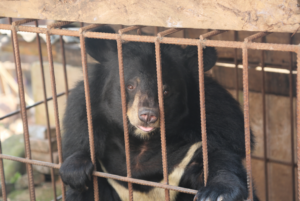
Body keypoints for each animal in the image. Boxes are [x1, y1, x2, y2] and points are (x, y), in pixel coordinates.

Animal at [59, 26, 258, 201]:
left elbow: (220, 156)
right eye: (130, 86)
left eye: (166, 91)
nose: (147, 116)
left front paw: (216, 193)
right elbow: (79, 148)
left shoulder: (216, 122)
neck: (142, 142)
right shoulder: (84, 114)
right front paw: (75, 171)